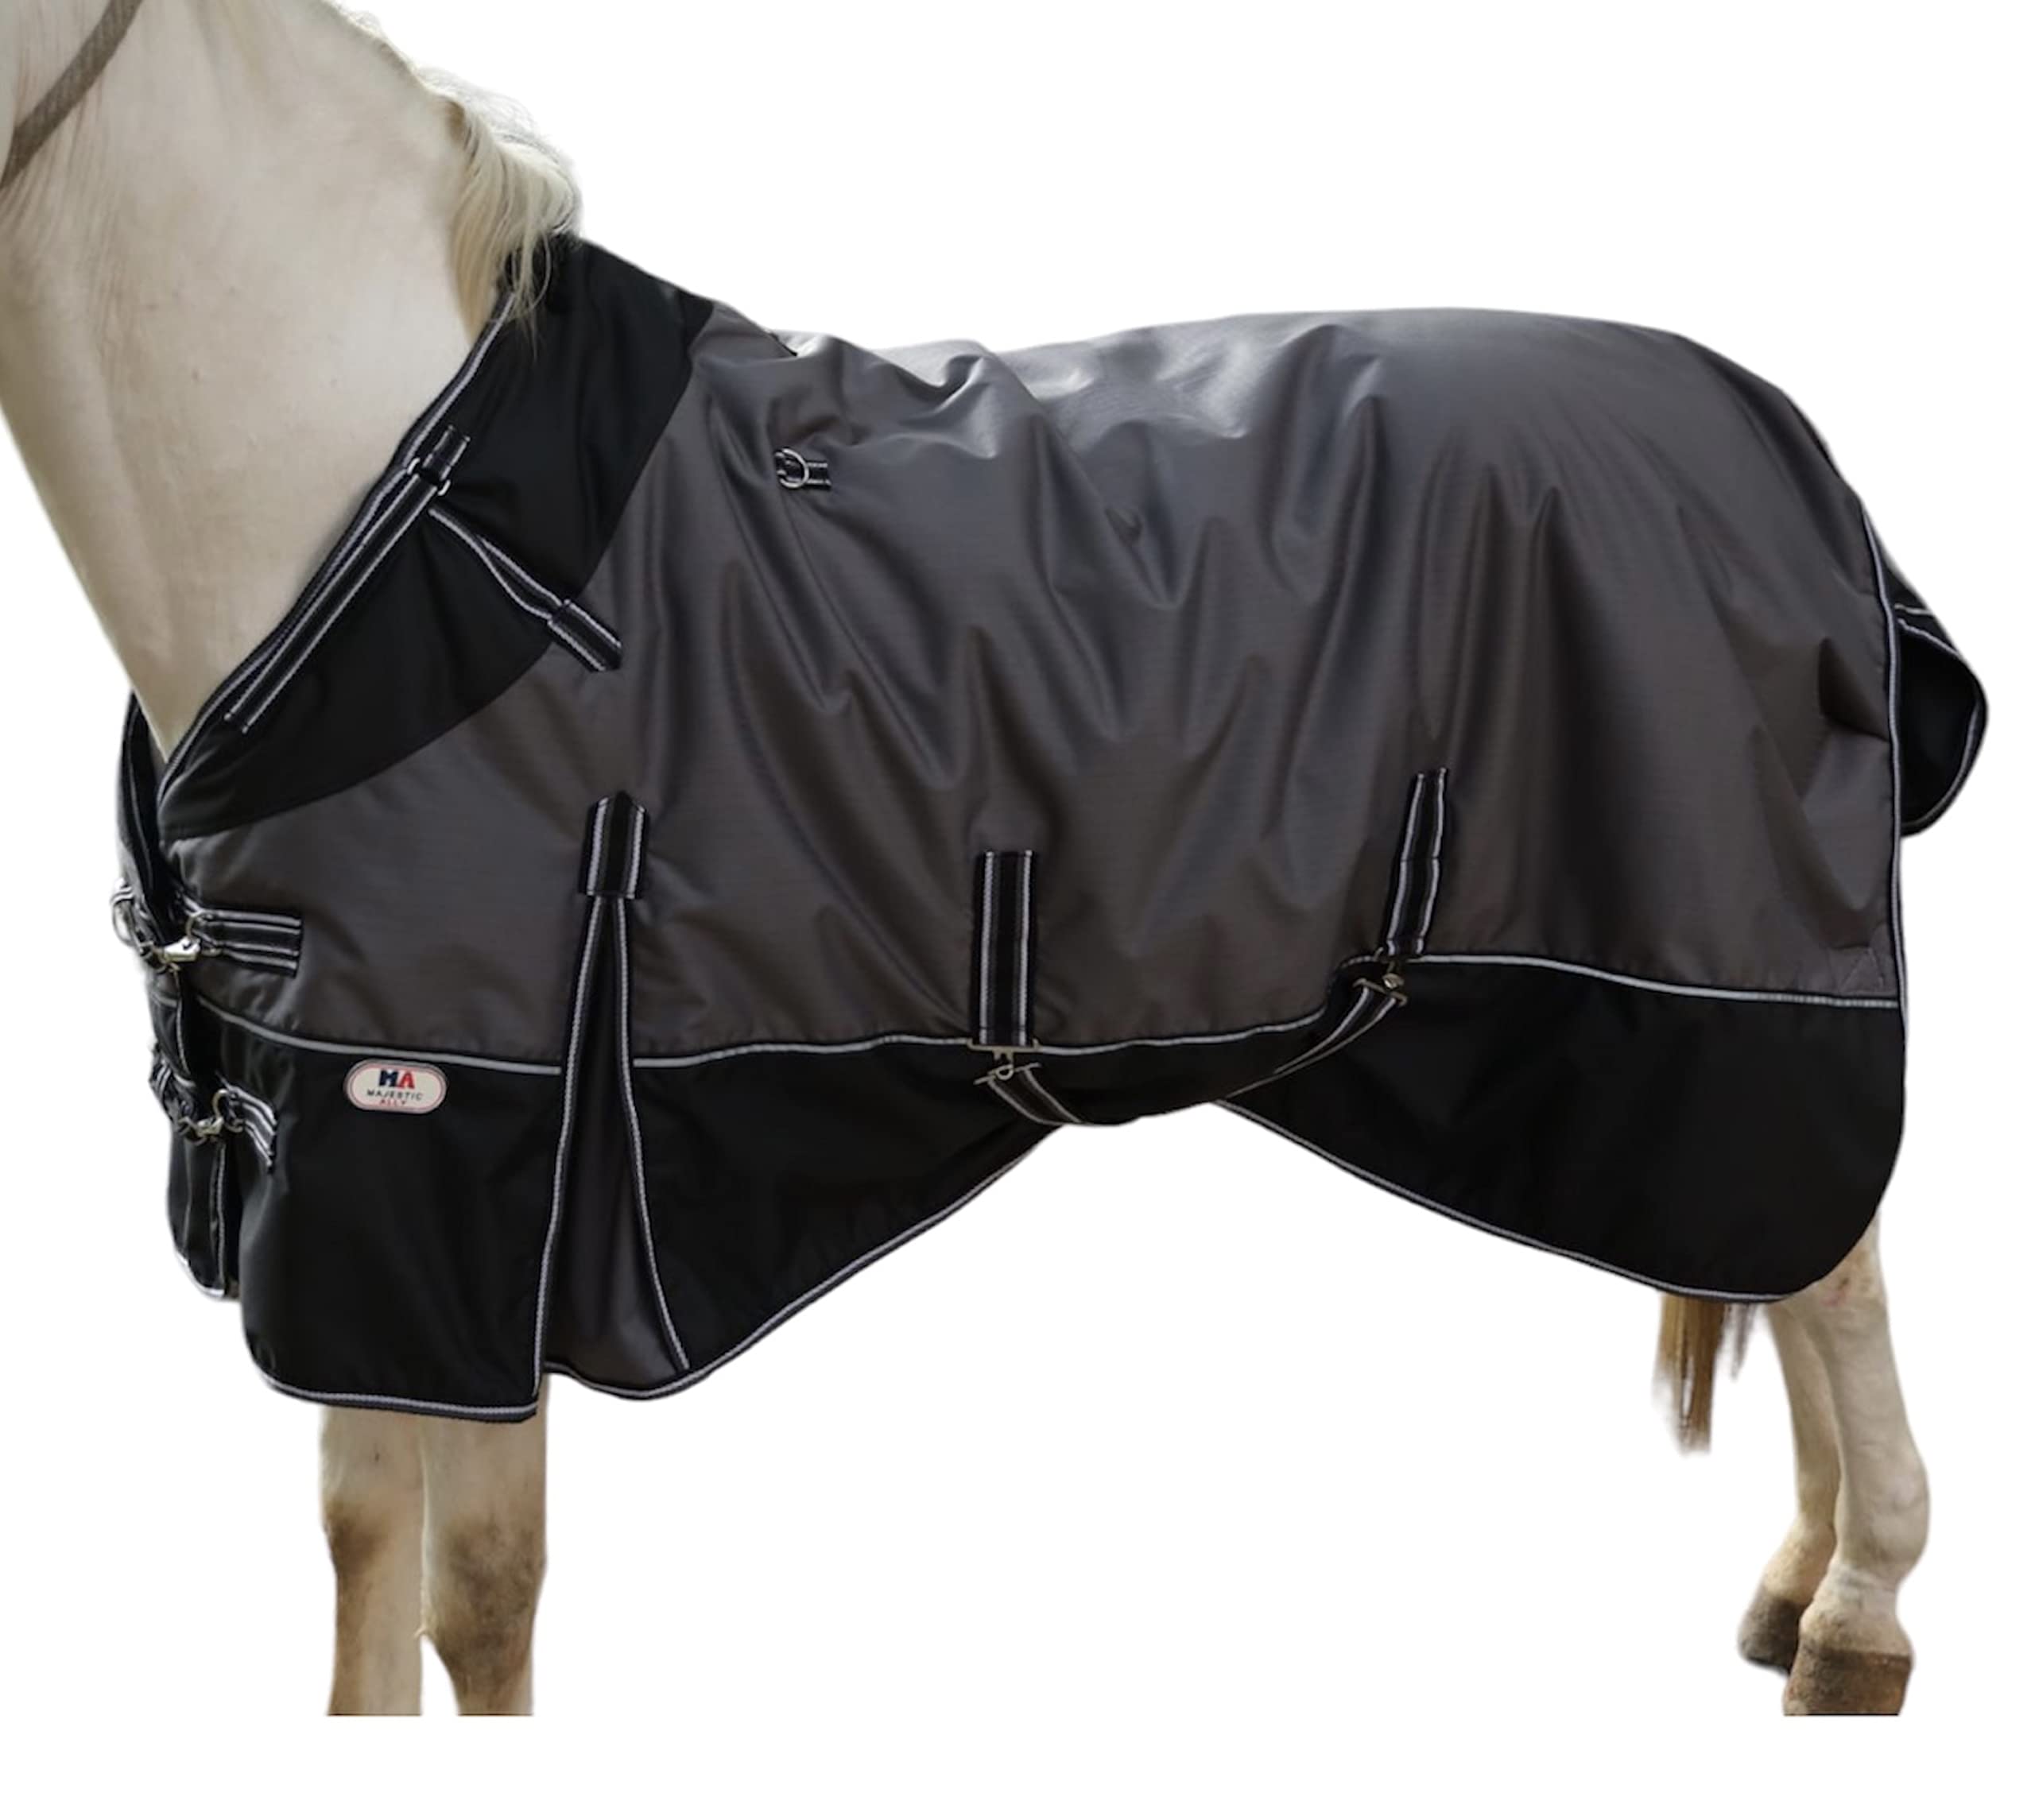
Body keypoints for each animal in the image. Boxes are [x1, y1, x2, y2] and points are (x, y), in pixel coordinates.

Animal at [0, 0, 1957, 1717]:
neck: (415, 516)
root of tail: (1794, 451)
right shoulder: (378, 1180)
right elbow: (392, 1565)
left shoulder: (442, 1138)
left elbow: (462, 1586)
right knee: (1798, 1261)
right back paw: (1793, 1587)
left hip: (1734, 994)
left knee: (1839, 1265)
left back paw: (1855, 1617)